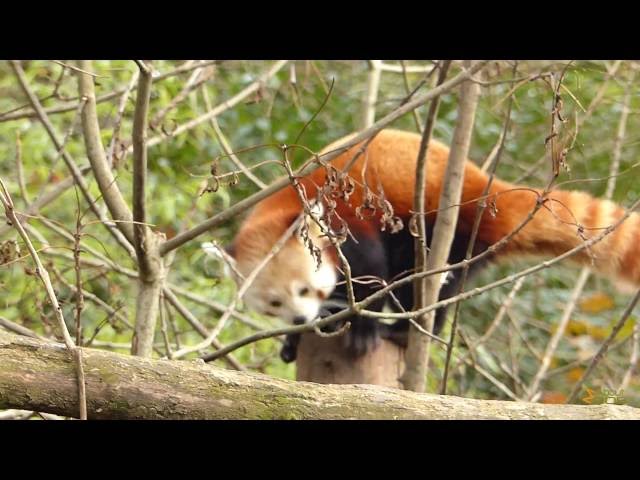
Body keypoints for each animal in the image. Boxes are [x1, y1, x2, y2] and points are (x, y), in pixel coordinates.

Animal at [225, 129, 640, 362]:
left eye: (304, 289)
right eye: (274, 303)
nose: (298, 319)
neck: (288, 203)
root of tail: (482, 185)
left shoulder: (348, 223)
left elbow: (370, 276)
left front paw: (362, 329)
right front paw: (297, 338)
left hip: (447, 229)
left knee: (428, 280)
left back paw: (406, 330)